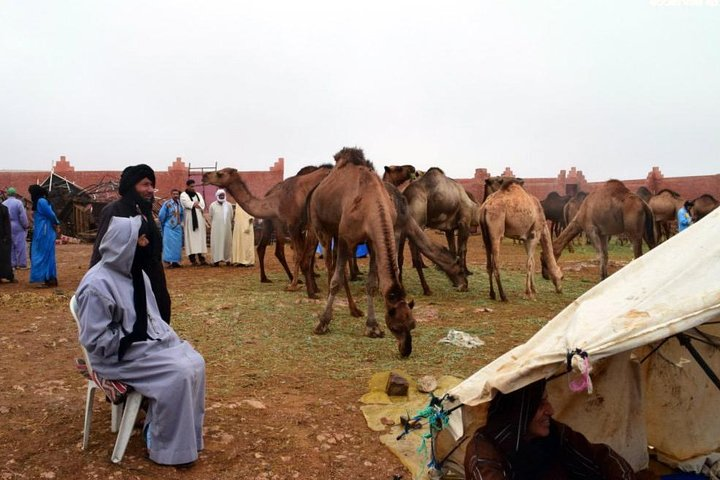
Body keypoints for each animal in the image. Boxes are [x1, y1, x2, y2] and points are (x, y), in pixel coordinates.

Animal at [202, 165, 332, 297]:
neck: (276, 201)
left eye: (220, 173)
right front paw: (310, 287)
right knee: (269, 249)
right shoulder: (298, 227)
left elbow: (301, 254)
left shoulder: (295, 225)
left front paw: (300, 287)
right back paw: (266, 278)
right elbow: (304, 255)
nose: (204, 176)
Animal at [307, 147, 416, 357]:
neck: (371, 205)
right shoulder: (345, 238)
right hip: (322, 228)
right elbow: (335, 281)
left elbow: (372, 284)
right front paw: (322, 322)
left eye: (412, 324)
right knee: (331, 265)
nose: (406, 350)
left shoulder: (372, 242)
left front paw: (372, 327)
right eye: (396, 327)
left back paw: (354, 310)